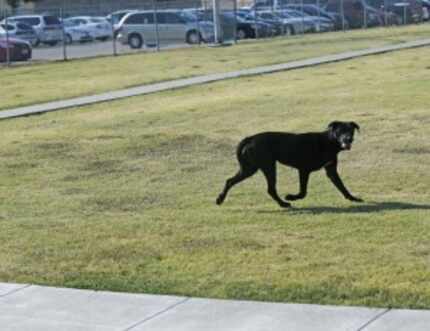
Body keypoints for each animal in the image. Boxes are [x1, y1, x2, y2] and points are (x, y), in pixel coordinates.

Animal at [217, 122, 362, 208]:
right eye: (341, 131)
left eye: (351, 131)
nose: (348, 139)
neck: (328, 141)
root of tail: (251, 138)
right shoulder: (304, 170)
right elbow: (303, 192)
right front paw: (291, 197)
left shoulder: (331, 170)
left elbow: (342, 187)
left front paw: (353, 198)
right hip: (266, 167)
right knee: (270, 189)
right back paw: (283, 203)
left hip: (250, 167)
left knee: (230, 180)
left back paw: (220, 199)